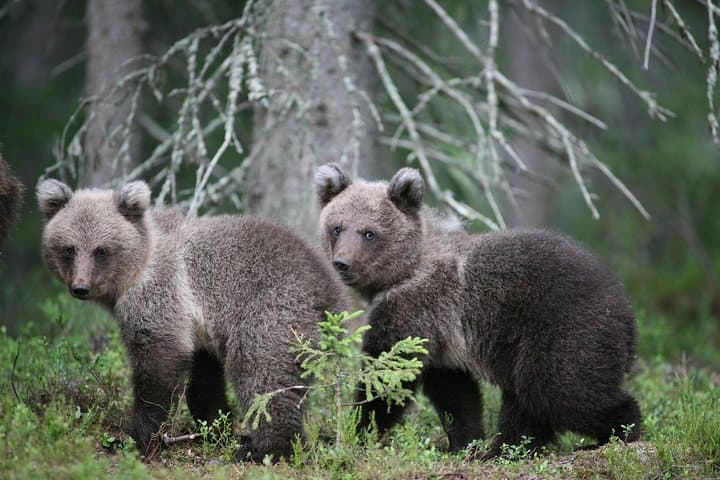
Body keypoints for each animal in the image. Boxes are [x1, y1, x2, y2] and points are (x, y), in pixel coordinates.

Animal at [37, 178, 347, 461]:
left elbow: (159, 364)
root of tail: (331, 290)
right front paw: (217, 427)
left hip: (272, 311)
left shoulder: (163, 296)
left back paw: (266, 449)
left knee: (262, 377)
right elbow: (204, 382)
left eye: (101, 250)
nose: (80, 287)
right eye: (69, 248)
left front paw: (137, 440)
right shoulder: (199, 327)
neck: (138, 270)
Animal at [314, 163, 641, 459]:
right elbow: (455, 394)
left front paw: (355, 432)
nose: (342, 263)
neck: (405, 271)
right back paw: (506, 449)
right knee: (526, 400)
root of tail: (626, 311)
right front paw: (464, 442)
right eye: (337, 228)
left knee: (562, 390)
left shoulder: (414, 308)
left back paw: (619, 433)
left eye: (369, 233)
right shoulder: (442, 337)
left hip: (565, 326)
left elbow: (388, 374)